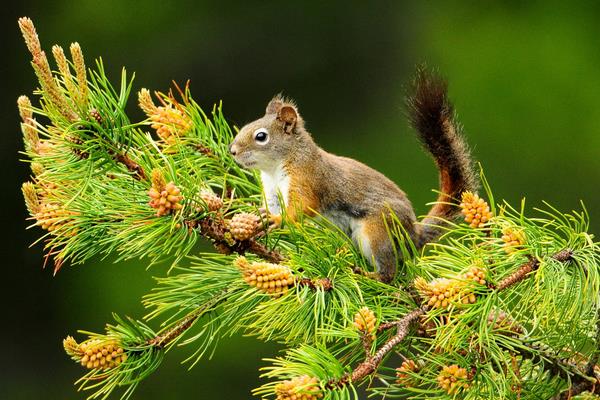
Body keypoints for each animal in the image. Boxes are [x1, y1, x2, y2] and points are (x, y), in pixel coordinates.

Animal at [230, 69, 478, 282]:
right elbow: (271, 206)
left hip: (377, 231)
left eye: (261, 136)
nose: (232, 151)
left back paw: (371, 275)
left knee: (389, 271)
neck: (274, 168)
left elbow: (302, 207)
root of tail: (413, 234)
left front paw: (277, 220)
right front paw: (258, 220)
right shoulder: (272, 191)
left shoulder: (307, 178)